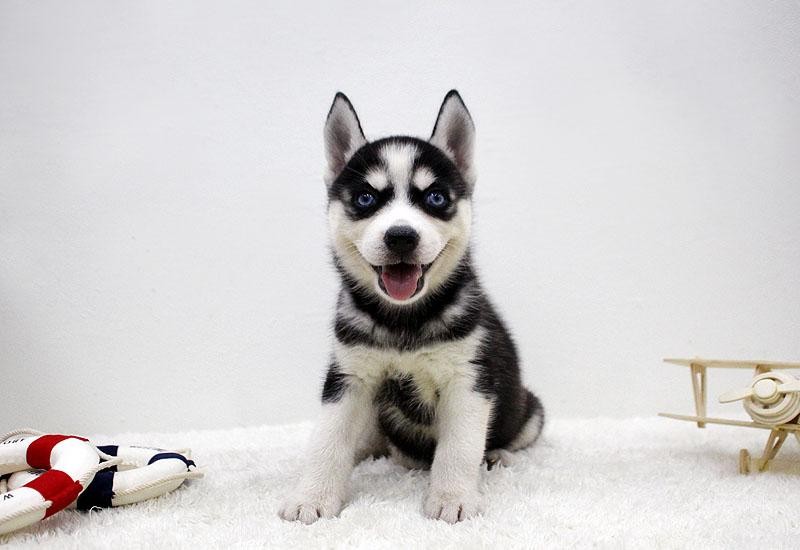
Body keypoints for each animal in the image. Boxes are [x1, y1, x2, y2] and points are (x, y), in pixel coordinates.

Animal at [279, 91, 544, 524]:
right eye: (366, 198)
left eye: (435, 198)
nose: (401, 236)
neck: (404, 320)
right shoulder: (349, 376)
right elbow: (328, 439)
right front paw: (312, 496)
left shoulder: (469, 379)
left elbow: (459, 447)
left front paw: (453, 497)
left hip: (530, 409)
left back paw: (498, 455)